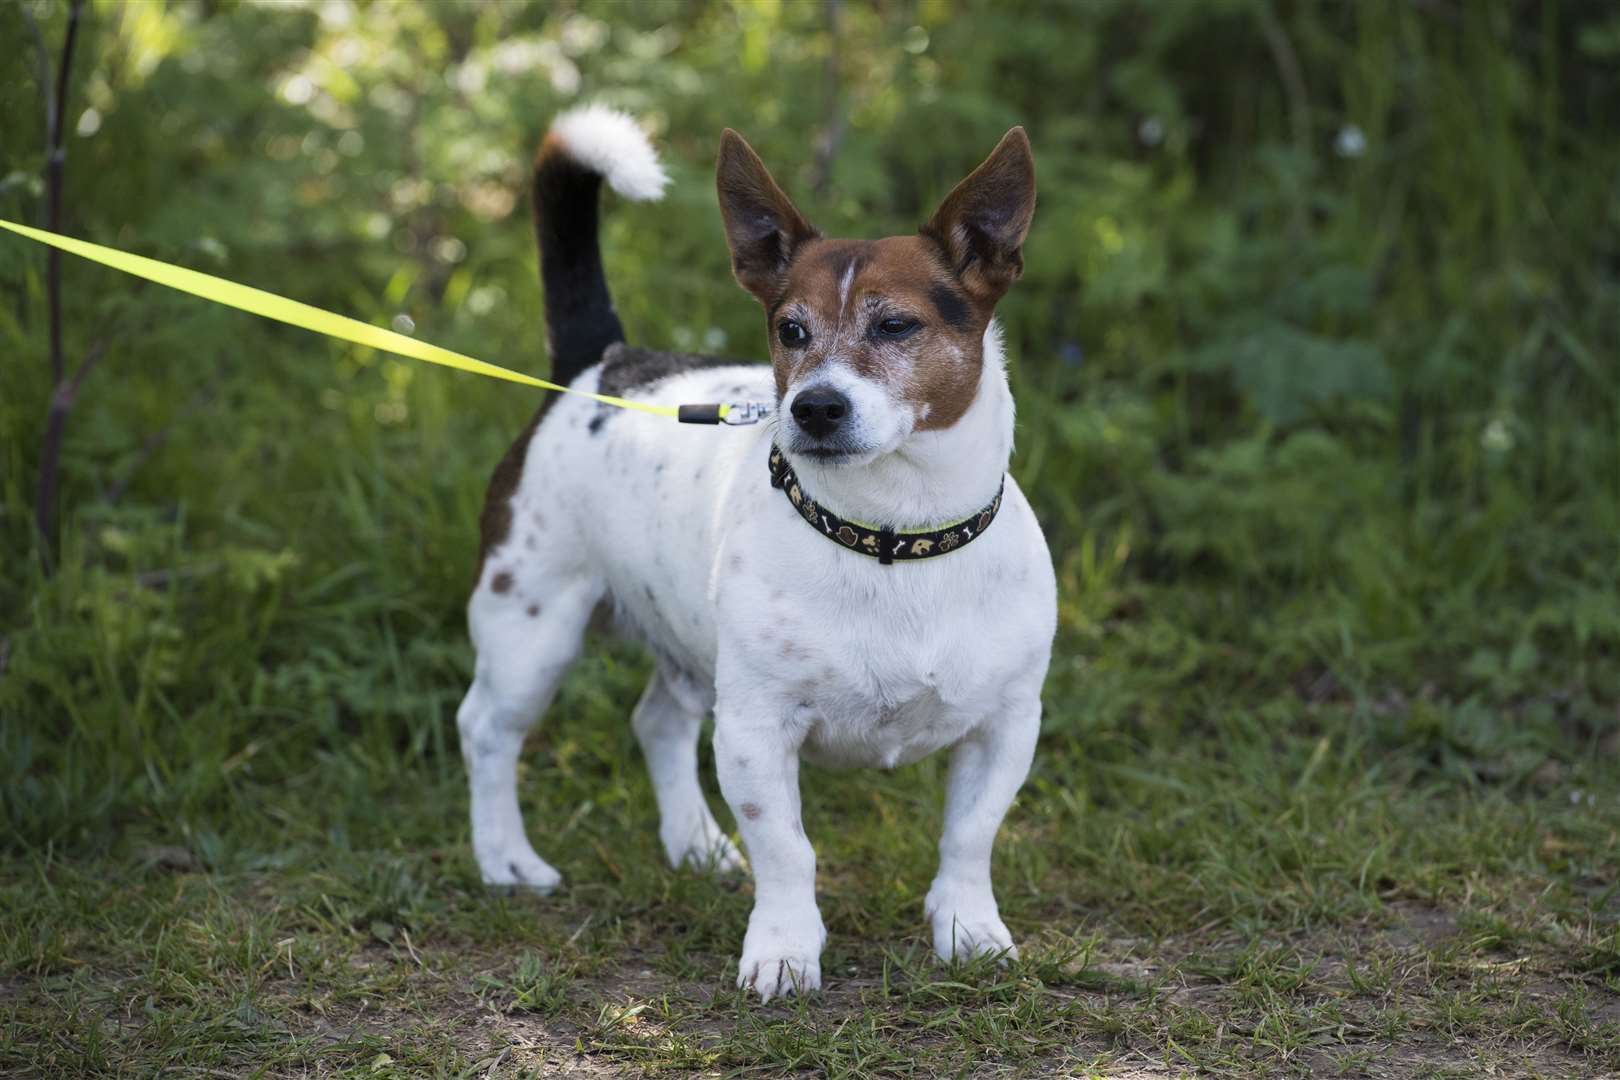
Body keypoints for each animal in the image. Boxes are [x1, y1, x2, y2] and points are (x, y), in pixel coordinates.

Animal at [456, 105, 1056, 1003]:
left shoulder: (1007, 725)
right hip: (533, 628)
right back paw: (506, 859)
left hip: (685, 643)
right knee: (486, 730)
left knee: (656, 720)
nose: (813, 407)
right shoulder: (755, 726)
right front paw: (783, 950)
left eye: (896, 324)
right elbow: (788, 850)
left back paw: (696, 845)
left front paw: (968, 931)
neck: (892, 538)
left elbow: (969, 836)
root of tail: (601, 364)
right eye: (790, 330)